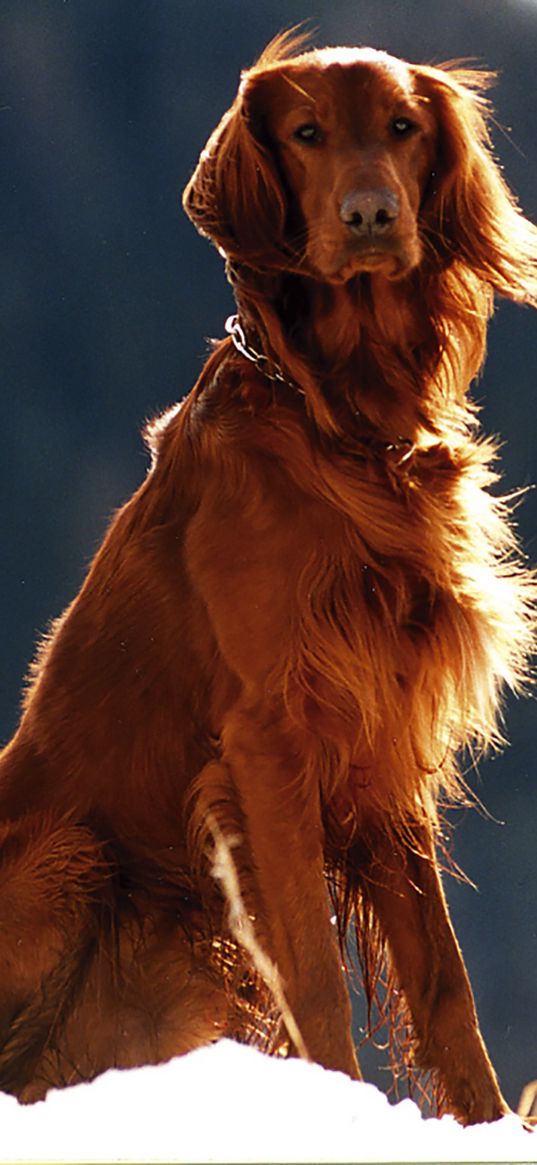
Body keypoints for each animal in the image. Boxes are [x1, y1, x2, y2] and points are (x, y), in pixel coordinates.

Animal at [1, 34, 535, 1118]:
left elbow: (446, 988)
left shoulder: (383, 739)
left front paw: (484, 1122)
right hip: (76, 852)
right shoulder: (266, 743)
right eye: (305, 133)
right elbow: (317, 985)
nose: (370, 216)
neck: (345, 425)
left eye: (403, 127)